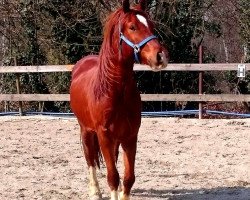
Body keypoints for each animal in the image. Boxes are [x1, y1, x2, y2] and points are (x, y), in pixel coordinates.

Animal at [70, 0, 168, 199]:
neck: (114, 91)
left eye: (151, 25)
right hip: (86, 131)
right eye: (132, 27)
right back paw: (94, 191)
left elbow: (128, 177)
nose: (161, 56)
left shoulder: (130, 136)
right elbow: (112, 176)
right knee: (90, 159)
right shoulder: (105, 136)